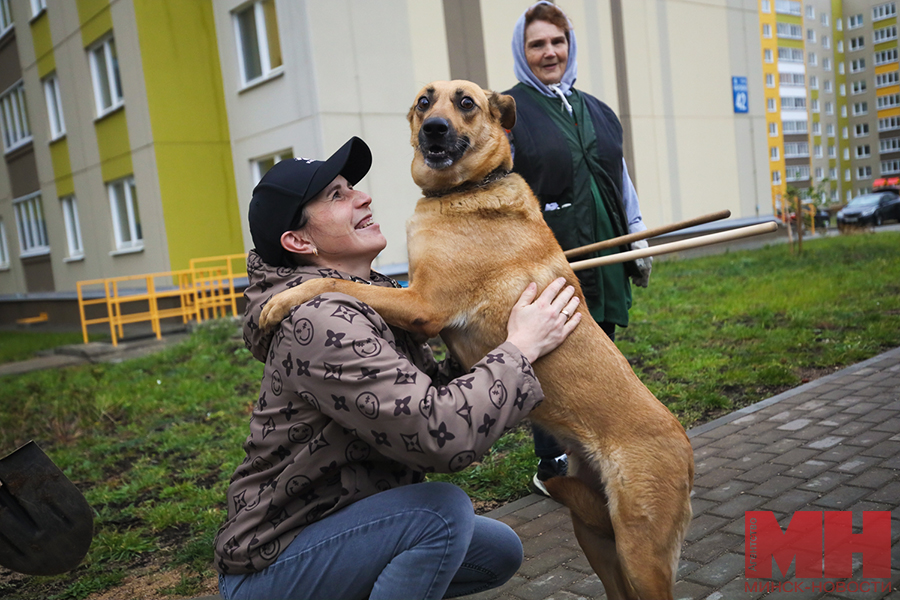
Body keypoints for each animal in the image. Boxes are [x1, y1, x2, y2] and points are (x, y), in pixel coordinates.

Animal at [260, 81, 696, 600]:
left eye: (465, 102)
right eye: (424, 101)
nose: (434, 128)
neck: (468, 189)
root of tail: (685, 445)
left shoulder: (422, 303)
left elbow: (335, 283)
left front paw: (282, 301)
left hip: (639, 552)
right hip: (593, 532)